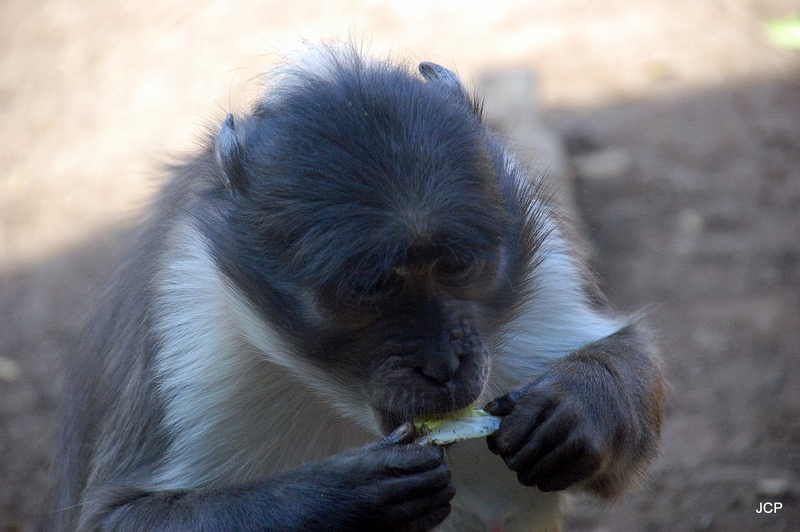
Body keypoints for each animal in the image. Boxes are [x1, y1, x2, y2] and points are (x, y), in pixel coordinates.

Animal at [40, 42, 664, 532]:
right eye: (371, 290)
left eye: (455, 266)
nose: (442, 366)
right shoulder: (190, 330)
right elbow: (118, 516)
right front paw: (353, 496)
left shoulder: (536, 247)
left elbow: (627, 357)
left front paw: (574, 409)